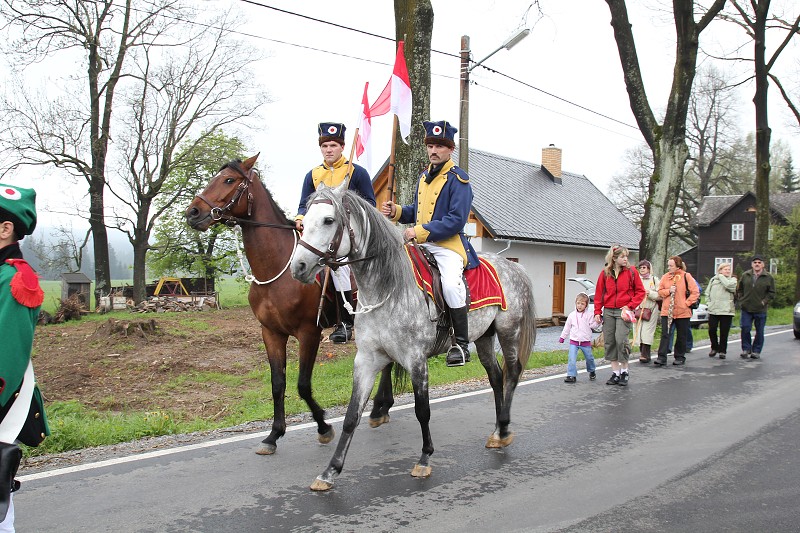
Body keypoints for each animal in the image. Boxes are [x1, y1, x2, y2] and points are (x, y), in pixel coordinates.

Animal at [184, 153, 340, 454]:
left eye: (228, 180)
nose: (193, 213)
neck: (277, 269)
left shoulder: (309, 333)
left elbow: (303, 385)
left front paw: (324, 427)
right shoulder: (271, 333)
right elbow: (277, 384)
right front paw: (273, 435)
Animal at [290, 184, 536, 490]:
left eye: (328, 220)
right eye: (304, 221)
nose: (298, 267)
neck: (388, 287)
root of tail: (513, 266)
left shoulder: (416, 360)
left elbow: (422, 410)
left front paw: (424, 458)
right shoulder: (367, 360)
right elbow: (351, 416)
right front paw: (330, 471)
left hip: (508, 331)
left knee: (512, 374)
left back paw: (503, 429)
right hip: (483, 338)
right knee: (496, 376)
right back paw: (497, 431)